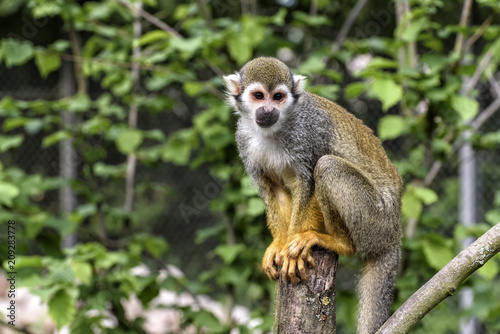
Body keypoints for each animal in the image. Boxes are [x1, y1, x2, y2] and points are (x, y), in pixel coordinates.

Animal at [225, 57, 404, 334]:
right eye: (258, 96)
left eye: (278, 97)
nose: (267, 110)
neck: (275, 129)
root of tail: (395, 231)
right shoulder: (243, 140)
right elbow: (272, 190)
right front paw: (279, 245)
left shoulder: (308, 134)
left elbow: (308, 183)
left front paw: (293, 247)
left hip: (376, 219)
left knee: (327, 166)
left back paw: (337, 242)